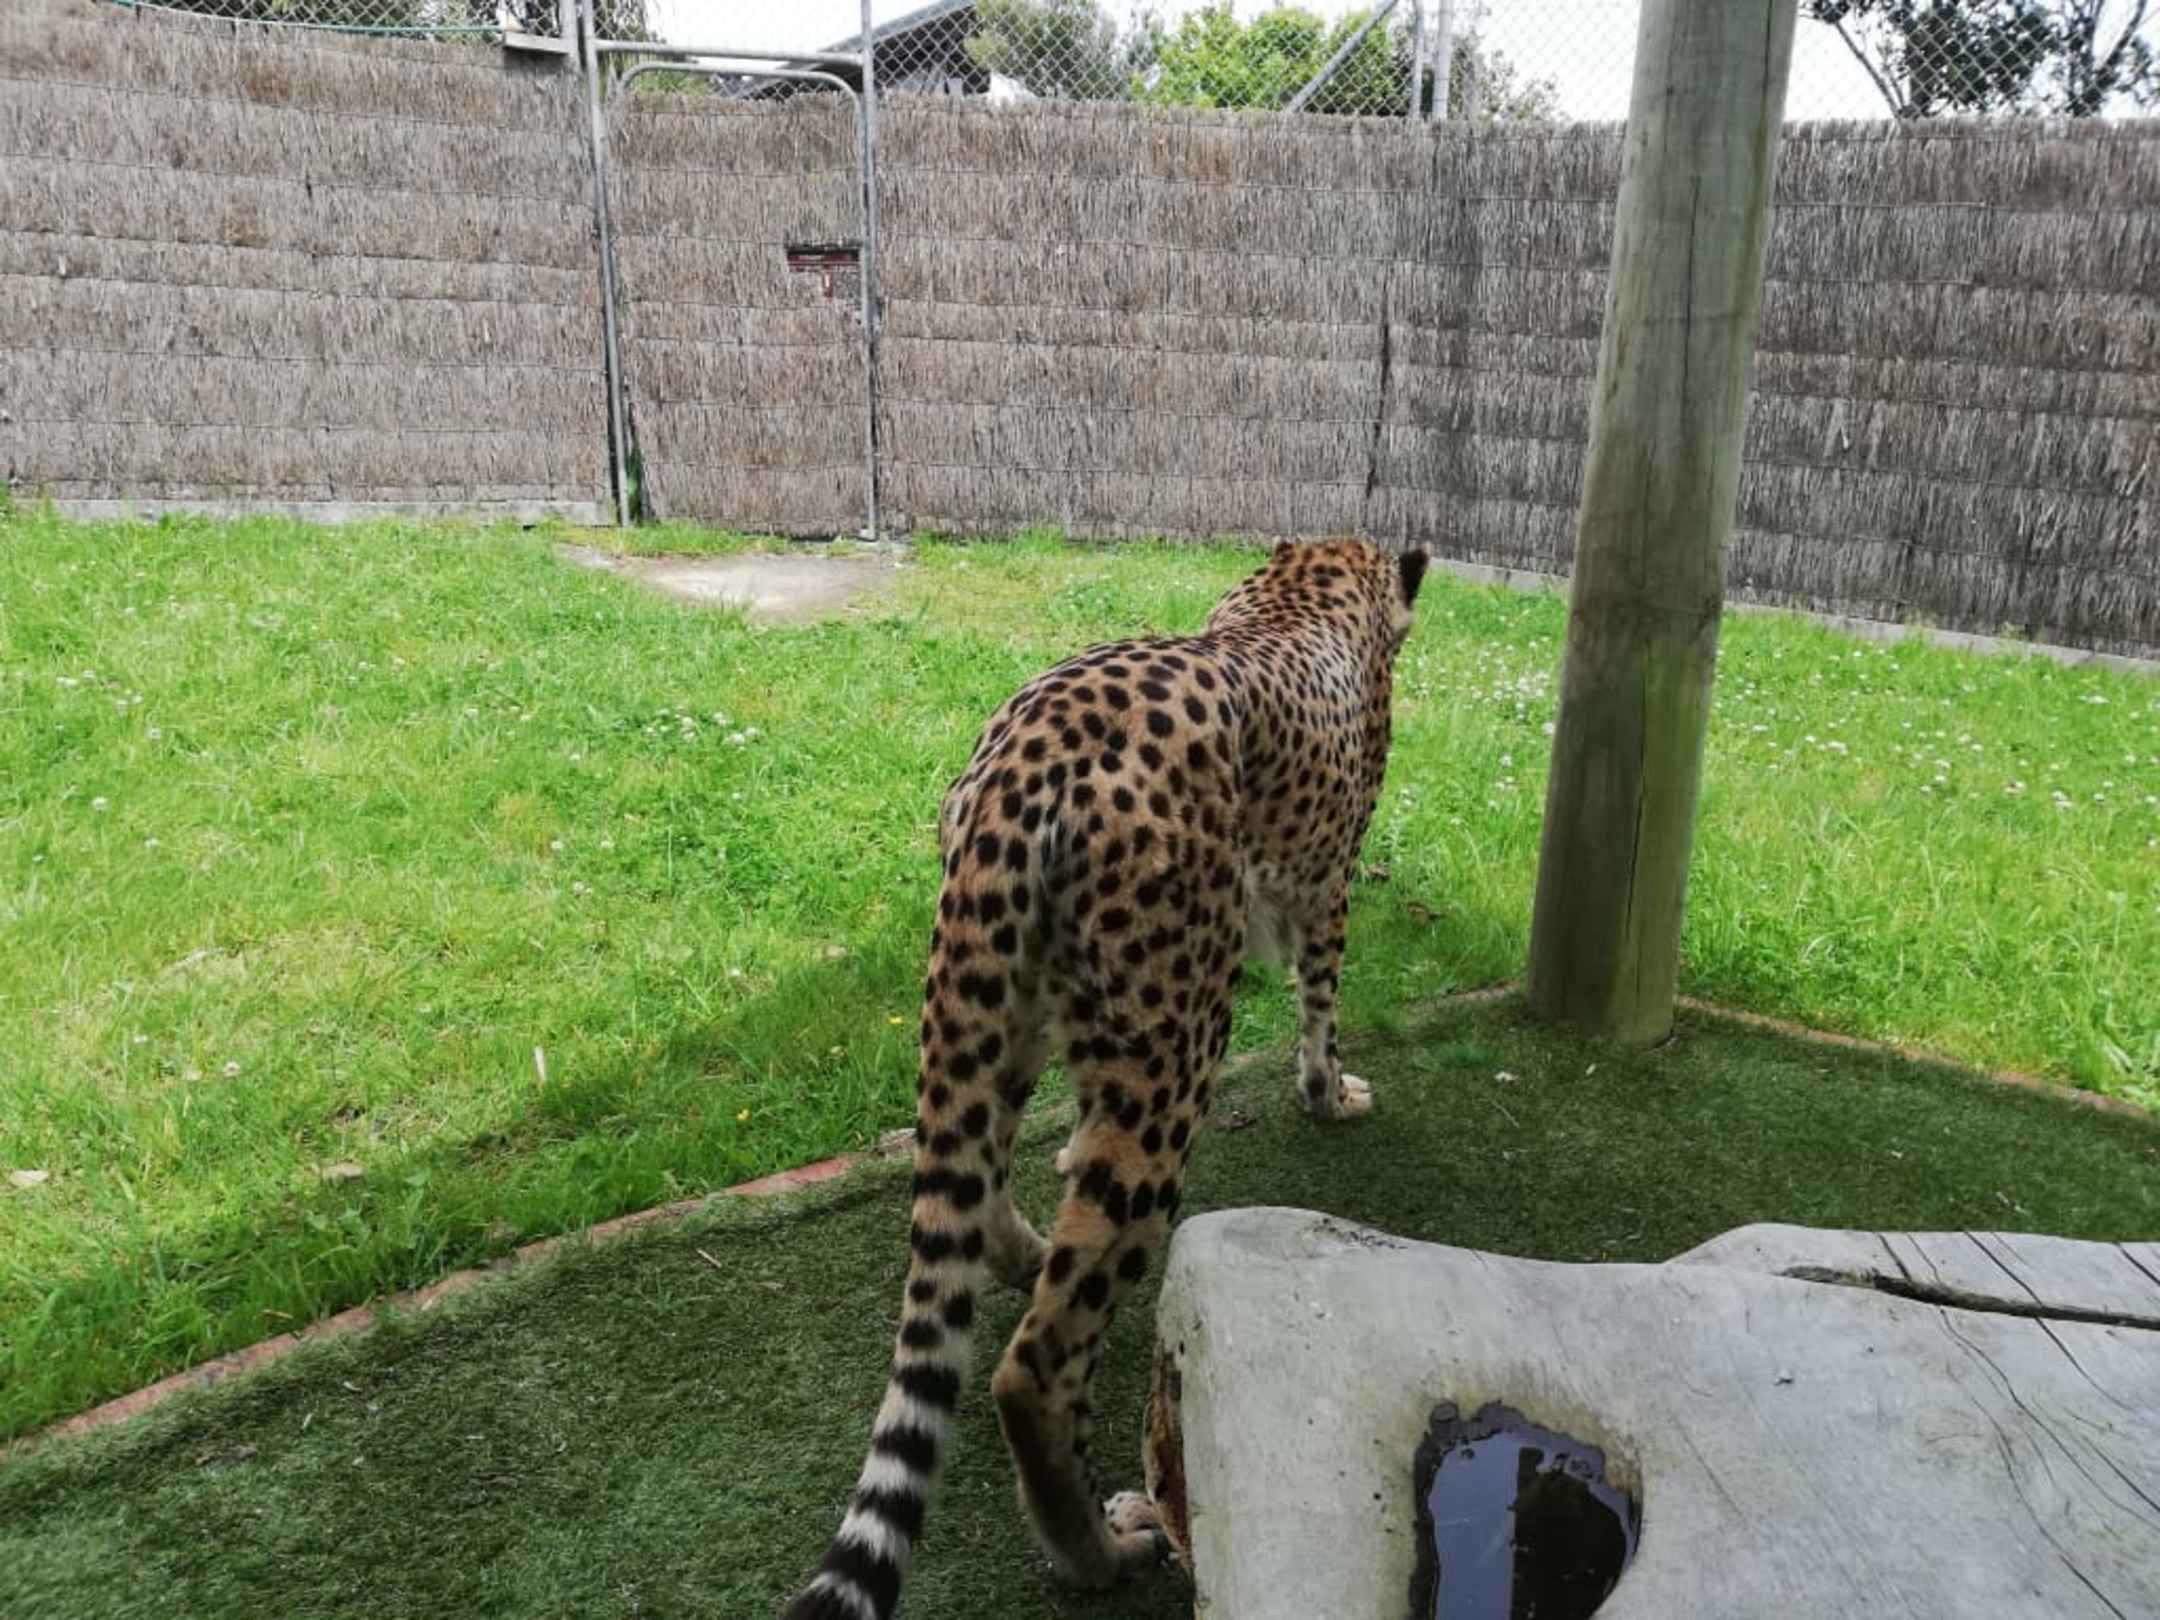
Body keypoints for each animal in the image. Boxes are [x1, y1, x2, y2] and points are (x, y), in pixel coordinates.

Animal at [783, 538, 1429, 1620]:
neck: (1310, 578)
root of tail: (1031, 748)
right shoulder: (1327, 884)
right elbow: (1321, 1006)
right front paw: (1331, 1096)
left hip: (1004, 995)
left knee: (974, 1167)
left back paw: (1019, 1249)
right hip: (1175, 1049)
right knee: (1035, 1364)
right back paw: (1103, 1550)